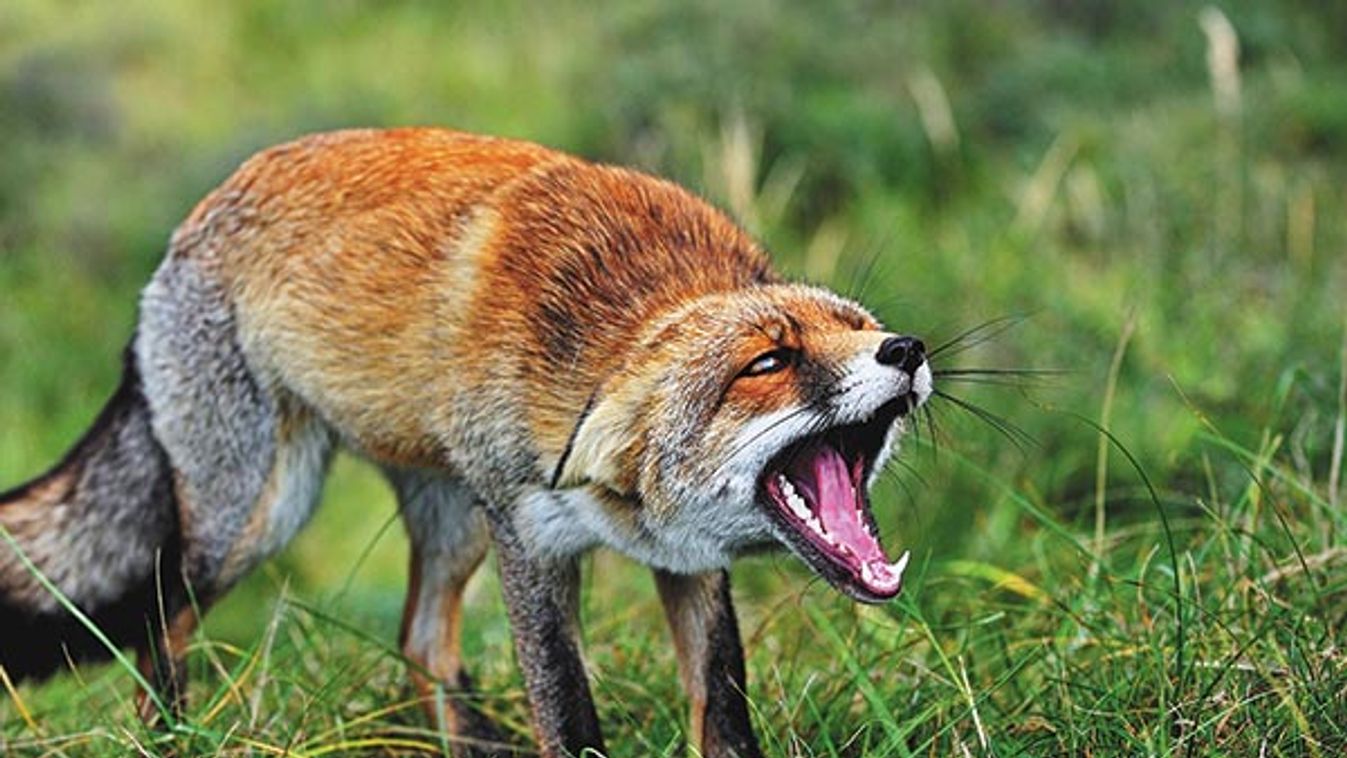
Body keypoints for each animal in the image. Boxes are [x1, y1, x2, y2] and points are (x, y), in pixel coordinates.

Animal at [0, 127, 932, 753]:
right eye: (768, 361)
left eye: (859, 326)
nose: (907, 349)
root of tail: (188, 230)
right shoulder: (529, 537)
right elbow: (565, 701)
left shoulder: (687, 560)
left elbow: (723, 707)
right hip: (259, 513)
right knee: (160, 619)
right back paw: (171, 736)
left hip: (448, 521)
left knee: (421, 641)